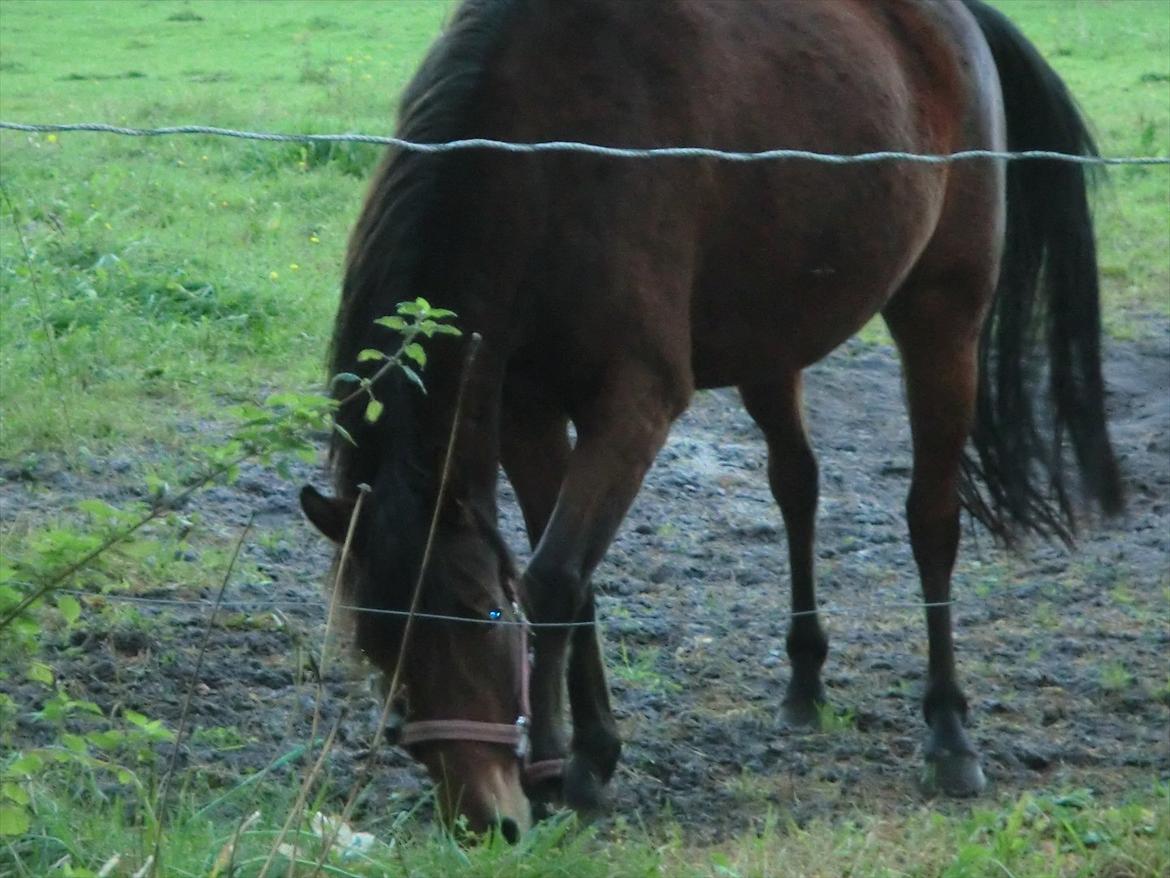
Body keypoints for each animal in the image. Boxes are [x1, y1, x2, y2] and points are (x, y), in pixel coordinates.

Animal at [299, 0, 1122, 840]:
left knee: (932, 519)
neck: (548, 158)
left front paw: (566, 767)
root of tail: (959, 23)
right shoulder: (526, 407)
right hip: (775, 337)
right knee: (797, 485)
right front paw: (590, 750)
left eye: (484, 615)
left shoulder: (636, 400)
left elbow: (554, 579)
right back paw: (804, 679)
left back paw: (950, 733)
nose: (480, 818)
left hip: (942, 317)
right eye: (376, 644)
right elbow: (572, 575)